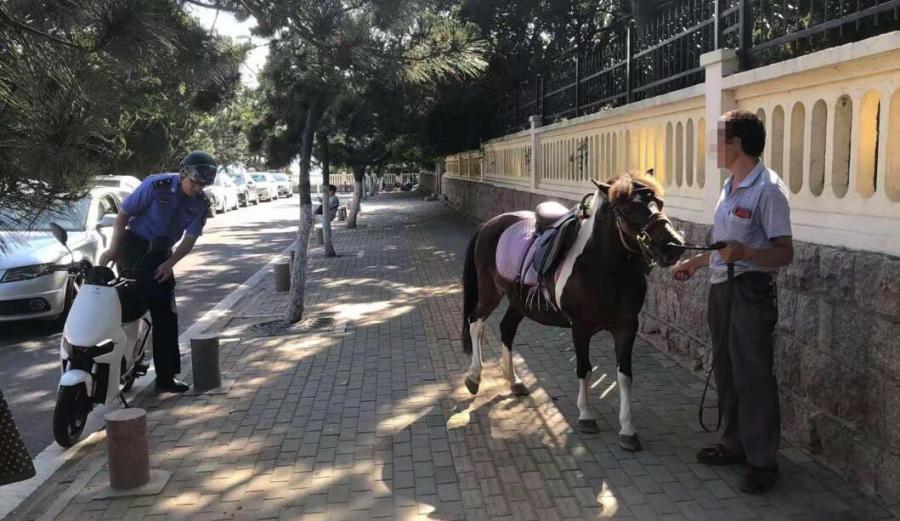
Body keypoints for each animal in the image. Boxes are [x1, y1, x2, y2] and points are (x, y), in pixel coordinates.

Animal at [460, 175, 684, 450]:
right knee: (476, 324)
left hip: (517, 302)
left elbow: (625, 376)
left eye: (659, 203)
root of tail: (490, 224)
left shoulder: (626, 328)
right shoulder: (581, 328)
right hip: (490, 293)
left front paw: (627, 430)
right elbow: (584, 369)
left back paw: (514, 381)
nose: (673, 246)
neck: (604, 268)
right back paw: (474, 377)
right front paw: (586, 415)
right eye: (629, 209)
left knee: (507, 330)